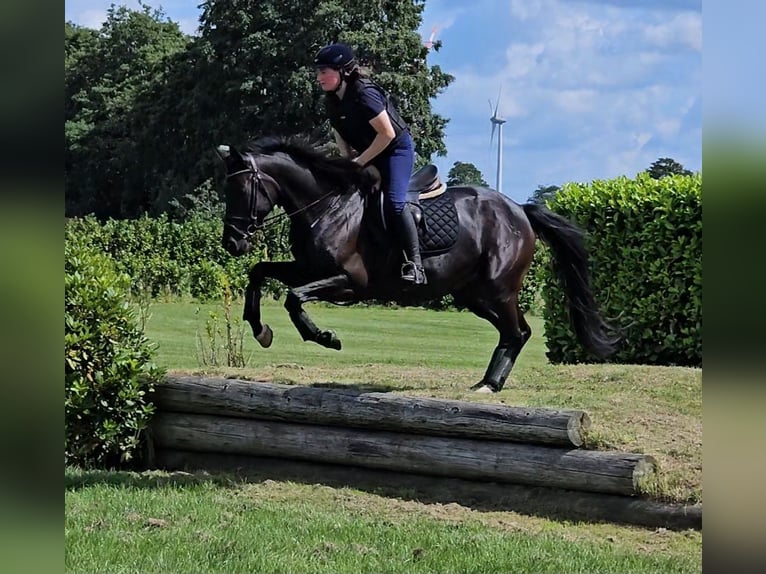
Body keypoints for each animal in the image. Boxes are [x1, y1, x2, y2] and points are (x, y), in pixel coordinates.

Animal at [214, 137, 616, 394]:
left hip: (498, 288)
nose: (232, 242)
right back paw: (487, 382)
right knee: (515, 332)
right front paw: (260, 329)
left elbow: (294, 298)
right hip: (473, 294)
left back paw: (489, 385)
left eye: (241, 189)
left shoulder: (349, 281)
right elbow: (260, 272)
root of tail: (520, 209)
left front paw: (325, 337)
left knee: (517, 332)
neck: (327, 206)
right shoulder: (309, 269)